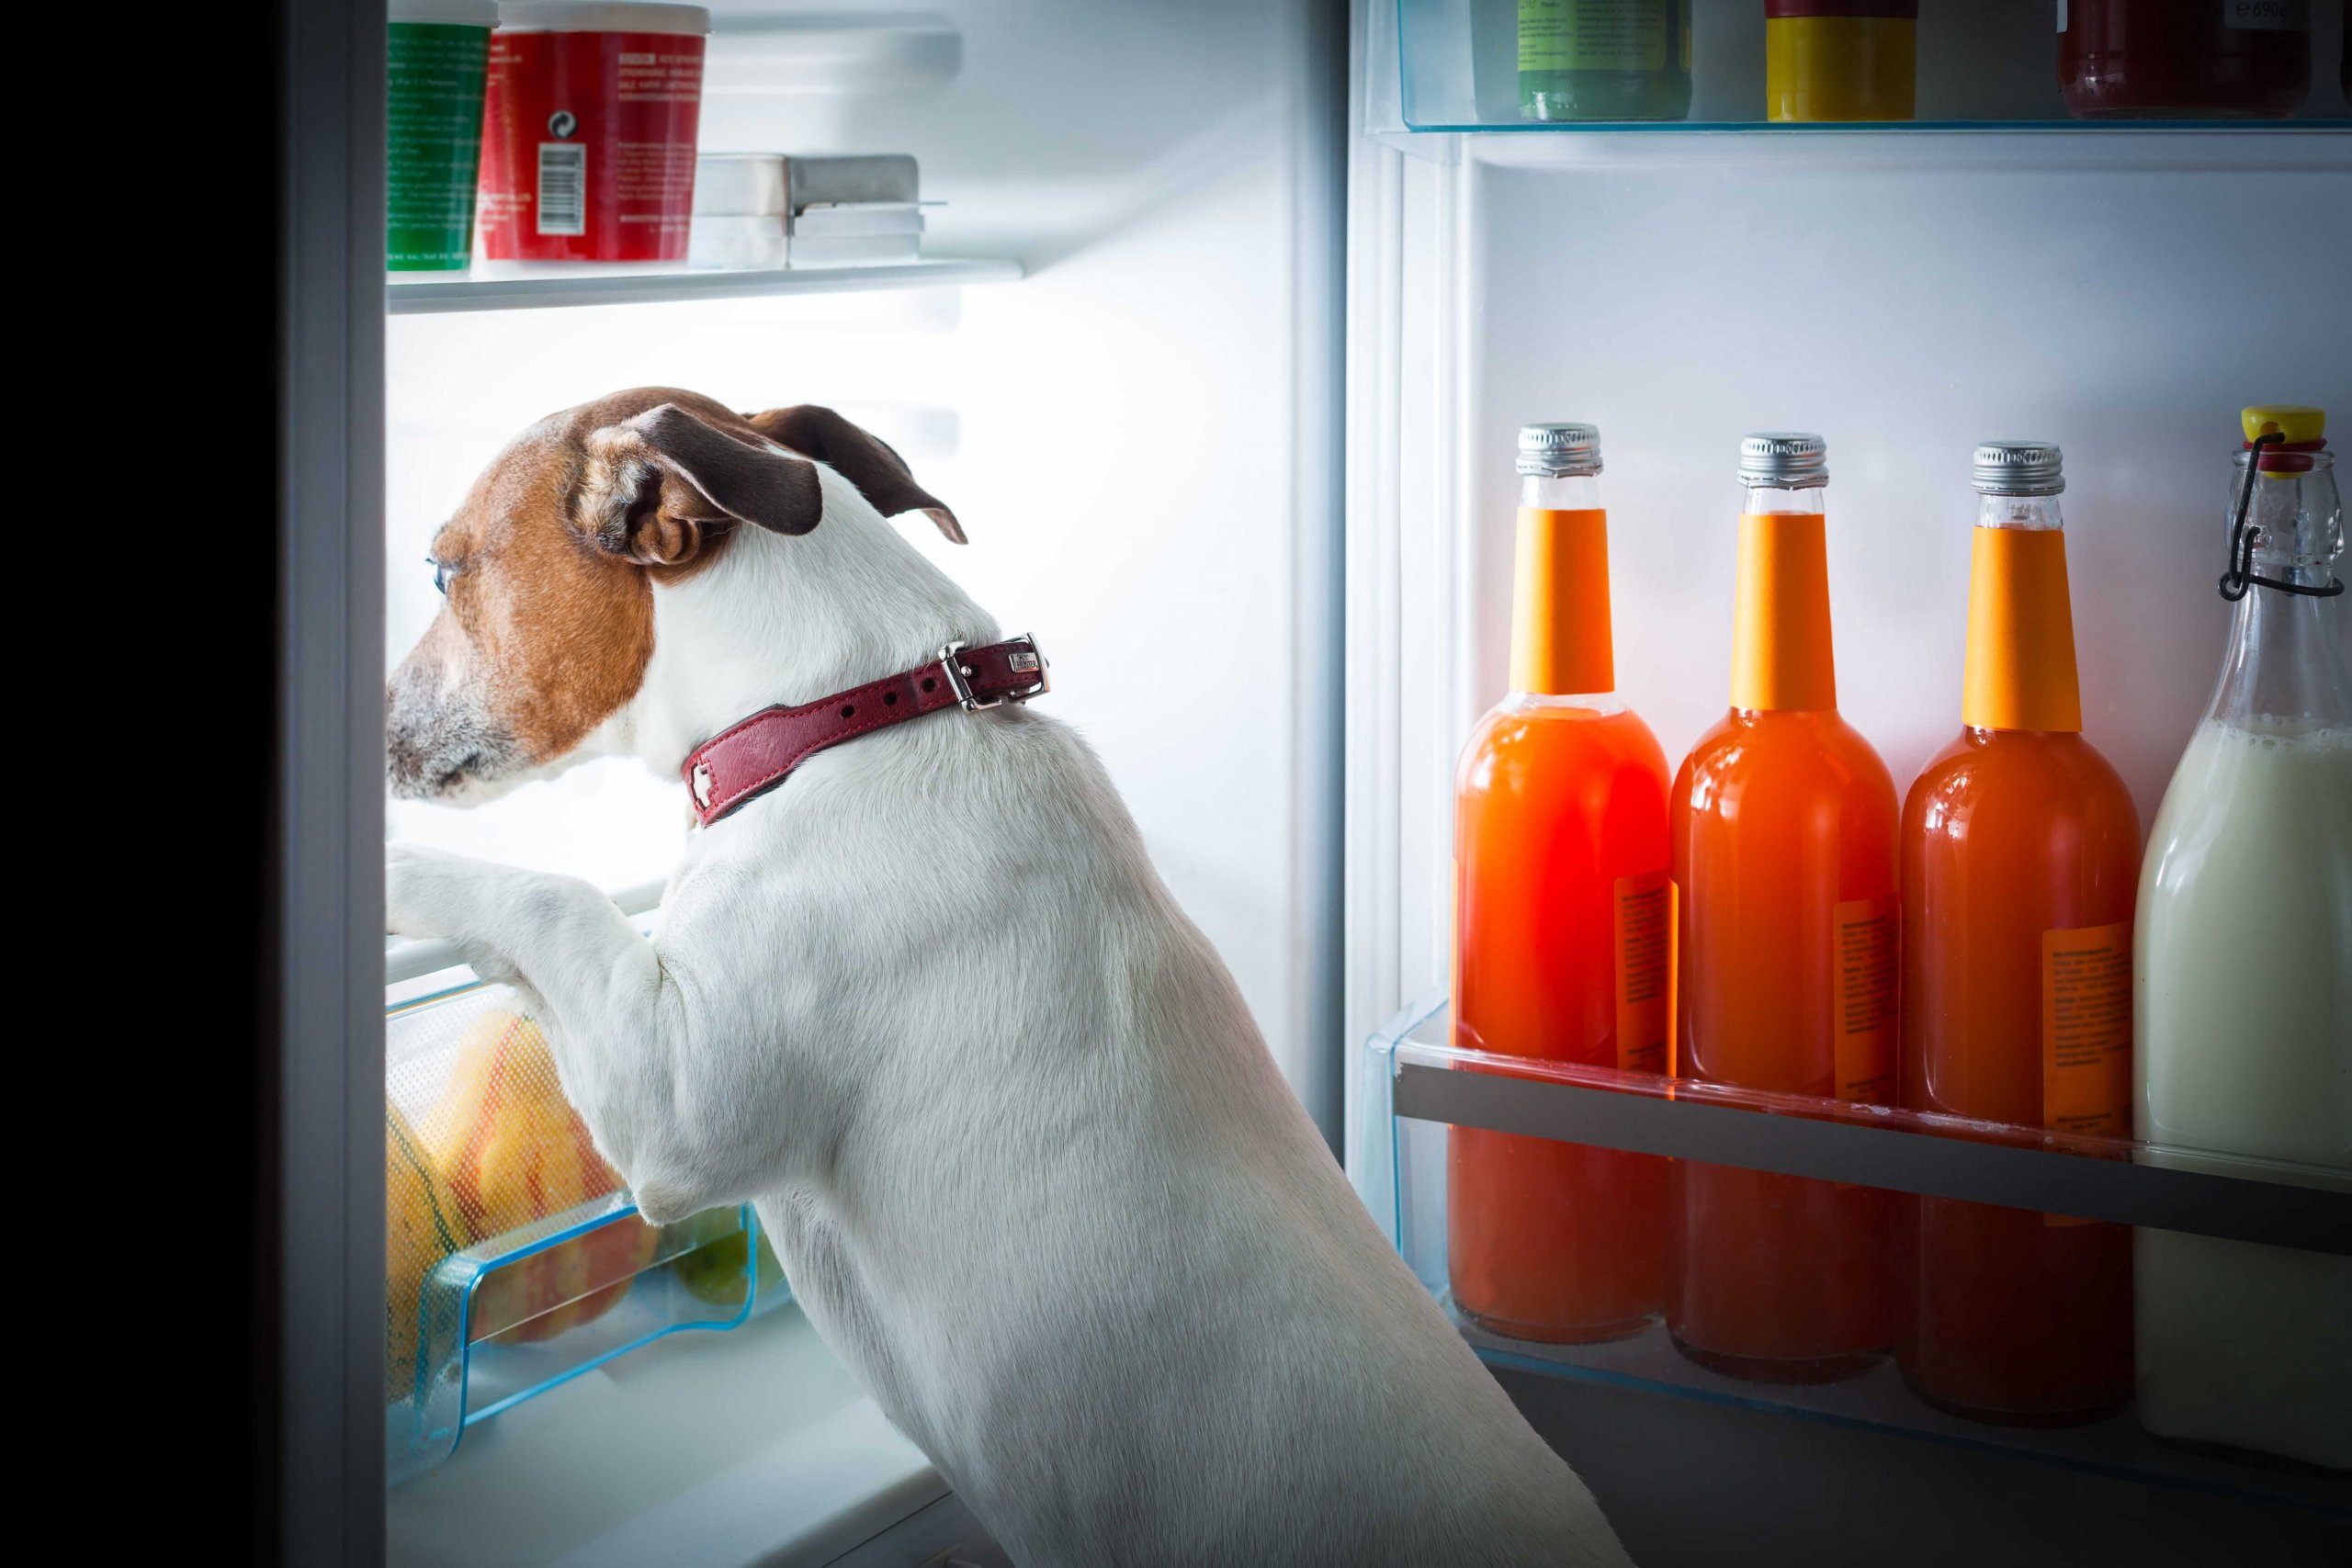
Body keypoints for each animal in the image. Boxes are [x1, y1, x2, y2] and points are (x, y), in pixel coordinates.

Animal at [385, 389, 1636, 1568]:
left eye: (445, 569)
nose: (379, 728)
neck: (845, 723)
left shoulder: (677, 1108)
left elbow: (554, 897)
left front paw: (397, 868)